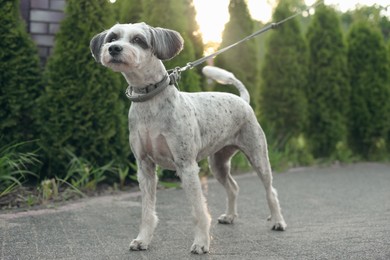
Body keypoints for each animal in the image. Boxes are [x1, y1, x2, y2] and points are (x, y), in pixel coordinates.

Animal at [90, 21, 286, 254]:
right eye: (112, 37)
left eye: (138, 40)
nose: (113, 49)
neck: (150, 102)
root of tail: (243, 101)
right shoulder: (145, 167)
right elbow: (147, 211)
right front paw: (142, 239)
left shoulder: (187, 166)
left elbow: (199, 211)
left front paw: (201, 243)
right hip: (218, 163)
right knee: (233, 187)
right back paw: (229, 216)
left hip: (258, 157)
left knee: (271, 191)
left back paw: (278, 221)